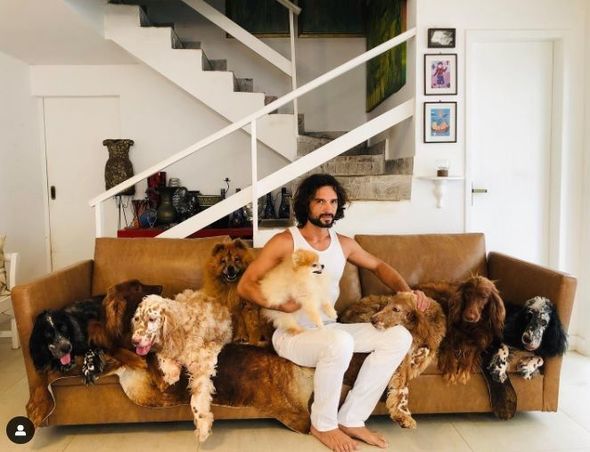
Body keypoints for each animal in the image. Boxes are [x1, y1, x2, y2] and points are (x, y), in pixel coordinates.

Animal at [131, 291, 232, 442]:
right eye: (137, 318)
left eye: (152, 319)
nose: (134, 341)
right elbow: (164, 356)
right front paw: (172, 372)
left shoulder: (202, 365)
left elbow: (196, 399)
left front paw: (202, 425)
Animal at [340, 292, 446, 428]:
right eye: (387, 304)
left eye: (396, 309)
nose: (372, 320)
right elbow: (403, 383)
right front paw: (402, 413)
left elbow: (423, 353)